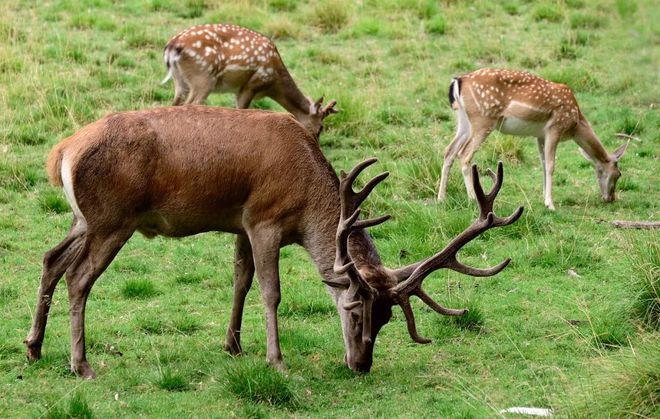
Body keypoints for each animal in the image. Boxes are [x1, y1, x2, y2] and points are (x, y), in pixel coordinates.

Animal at [24, 104, 520, 378]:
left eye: (387, 319)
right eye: (354, 310)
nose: (361, 365)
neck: (305, 199)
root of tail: (62, 152)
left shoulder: (241, 224)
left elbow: (240, 282)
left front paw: (233, 345)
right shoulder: (264, 219)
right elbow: (270, 291)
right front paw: (276, 360)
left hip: (84, 219)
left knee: (50, 258)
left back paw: (33, 347)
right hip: (113, 219)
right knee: (78, 277)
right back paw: (81, 364)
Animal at [159, 24, 336, 138]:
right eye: (321, 127)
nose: (315, 142)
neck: (273, 83)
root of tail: (172, 47)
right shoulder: (250, 86)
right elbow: (242, 111)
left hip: (180, 81)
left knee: (174, 104)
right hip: (203, 78)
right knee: (190, 105)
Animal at [436, 68, 632, 210]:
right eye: (619, 174)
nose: (610, 198)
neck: (576, 123)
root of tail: (458, 81)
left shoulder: (540, 135)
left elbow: (543, 164)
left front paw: (544, 198)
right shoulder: (555, 128)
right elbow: (551, 165)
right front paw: (550, 204)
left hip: (464, 121)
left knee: (449, 151)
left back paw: (441, 198)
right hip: (483, 120)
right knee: (464, 154)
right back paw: (471, 199)